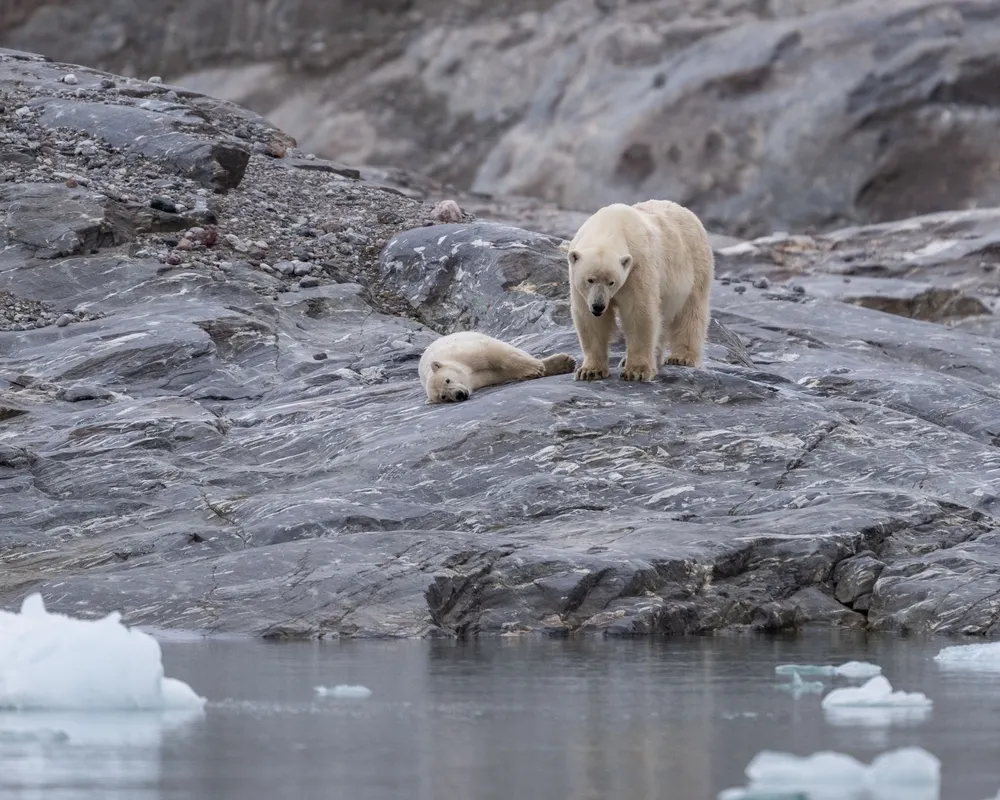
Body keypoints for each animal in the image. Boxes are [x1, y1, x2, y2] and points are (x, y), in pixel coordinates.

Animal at [418, 331, 576, 403]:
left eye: (447, 380)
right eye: (443, 397)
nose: (459, 395)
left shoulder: (460, 353)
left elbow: (494, 353)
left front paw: (533, 369)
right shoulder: (480, 379)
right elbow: (502, 373)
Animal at [563, 199, 714, 382]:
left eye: (612, 282)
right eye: (590, 280)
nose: (598, 306)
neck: (610, 225)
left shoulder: (637, 267)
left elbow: (638, 312)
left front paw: (637, 371)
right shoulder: (578, 284)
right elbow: (589, 319)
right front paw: (589, 371)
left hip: (695, 264)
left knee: (690, 311)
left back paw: (682, 357)